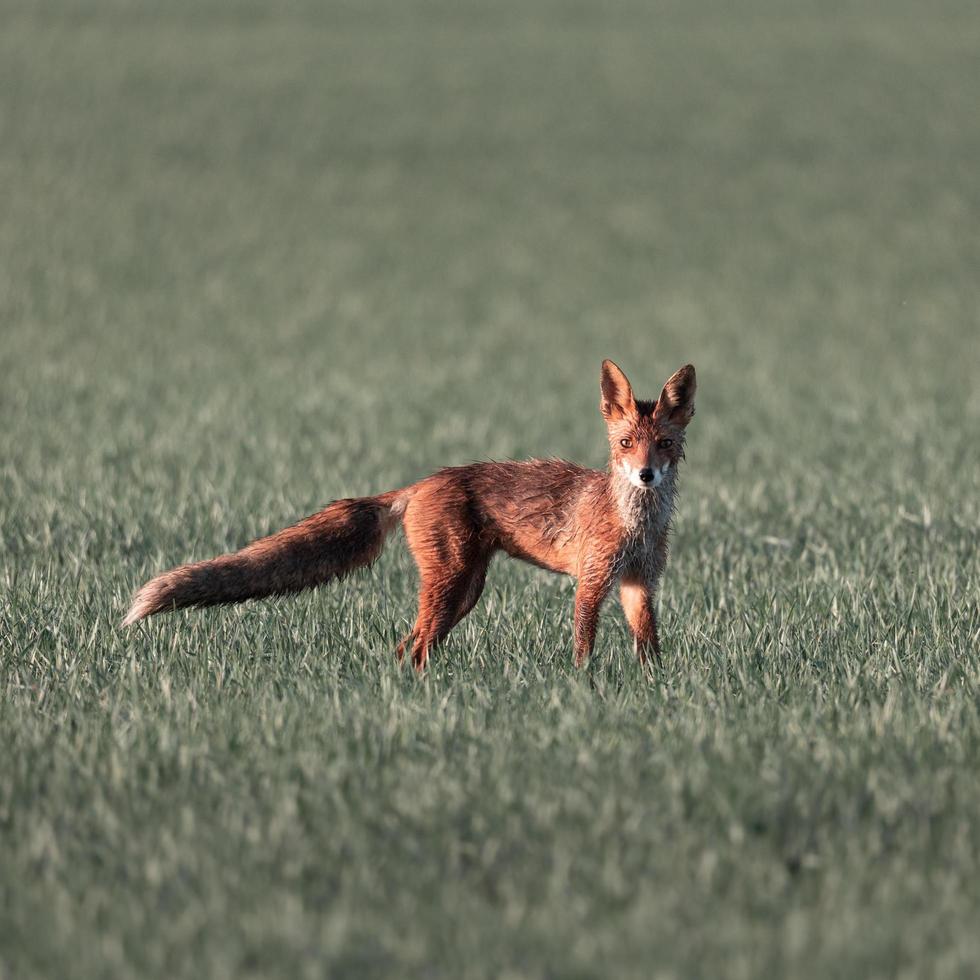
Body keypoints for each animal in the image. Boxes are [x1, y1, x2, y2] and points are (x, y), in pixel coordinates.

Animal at [124, 364, 696, 668]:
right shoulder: (592, 581)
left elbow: (650, 648)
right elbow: (583, 647)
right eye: (625, 444)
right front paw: (582, 688)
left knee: (408, 648)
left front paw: (651, 692)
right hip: (453, 583)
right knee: (414, 645)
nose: (646, 475)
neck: (635, 523)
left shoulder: (639, 583)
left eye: (664, 445)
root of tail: (419, 484)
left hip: (464, 592)